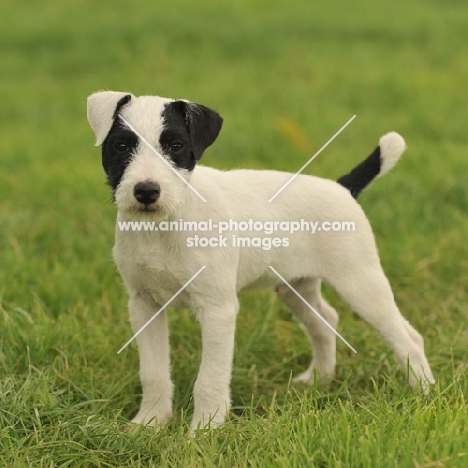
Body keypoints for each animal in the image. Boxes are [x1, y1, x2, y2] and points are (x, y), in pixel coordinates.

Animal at [86, 91, 434, 432]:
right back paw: (320, 379)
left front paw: (204, 430)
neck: (164, 226)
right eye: (121, 146)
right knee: (326, 321)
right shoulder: (144, 305)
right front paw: (151, 422)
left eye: (176, 146)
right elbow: (153, 372)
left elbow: (209, 379)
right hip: (296, 288)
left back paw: (424, 392)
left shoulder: (218, 310)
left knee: (407, 339)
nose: (146, 191)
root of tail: (341, 188)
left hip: (360, 284)